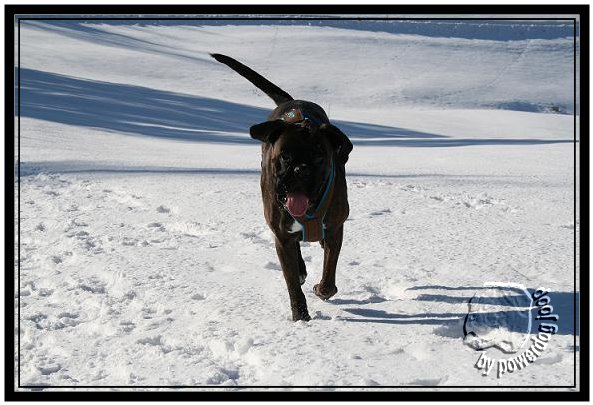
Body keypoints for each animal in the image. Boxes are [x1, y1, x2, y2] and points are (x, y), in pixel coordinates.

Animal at [211, 54, 352, 321]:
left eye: (319, 156)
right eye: (286, 156)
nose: (301, 170)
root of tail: (291, 102)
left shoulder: (335, 228)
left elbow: (329, 277)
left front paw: (321, 289)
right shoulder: (281, 236)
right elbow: (292, 282)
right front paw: (301, 318)